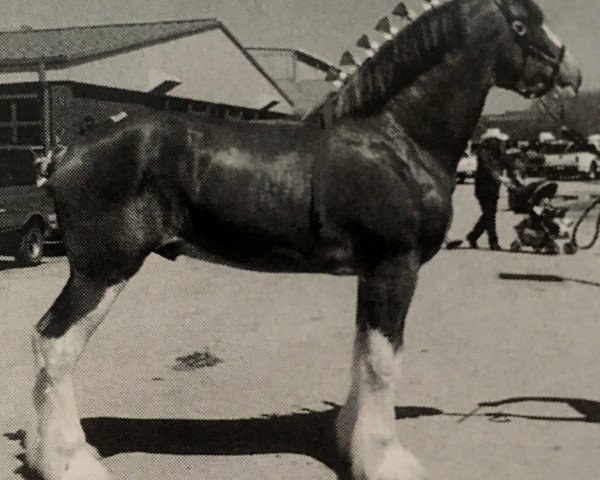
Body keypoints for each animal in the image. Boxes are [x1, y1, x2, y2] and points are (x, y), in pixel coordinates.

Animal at [24, 0, 580, 480]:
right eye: (523, 23)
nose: (572, 76)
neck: (394, 138)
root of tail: (67, 152)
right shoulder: (394, 266)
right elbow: (383, 361)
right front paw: (387, 461)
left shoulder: (370, 272)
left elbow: (363, 350)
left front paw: (351, 445)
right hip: (103, 271)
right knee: (55, 346)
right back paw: (74, 463)